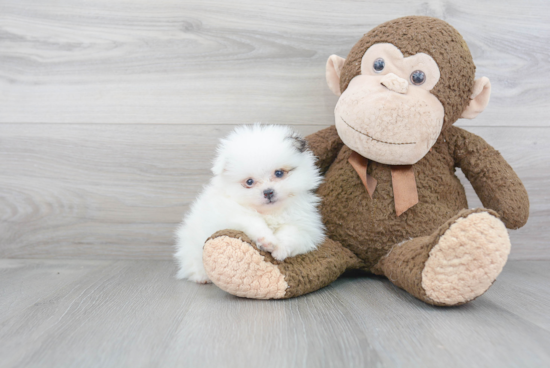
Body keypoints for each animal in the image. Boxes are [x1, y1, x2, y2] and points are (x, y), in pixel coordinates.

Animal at [175, 123, 326, 282]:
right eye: (249, 182)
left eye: (279, 173)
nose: (268, 192)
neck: (270, 212)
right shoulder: (229, 214)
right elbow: (252, 220)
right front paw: (267, 240)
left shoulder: (306, 226)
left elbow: (292, 232)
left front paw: (279, 249)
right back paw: (201, 276)